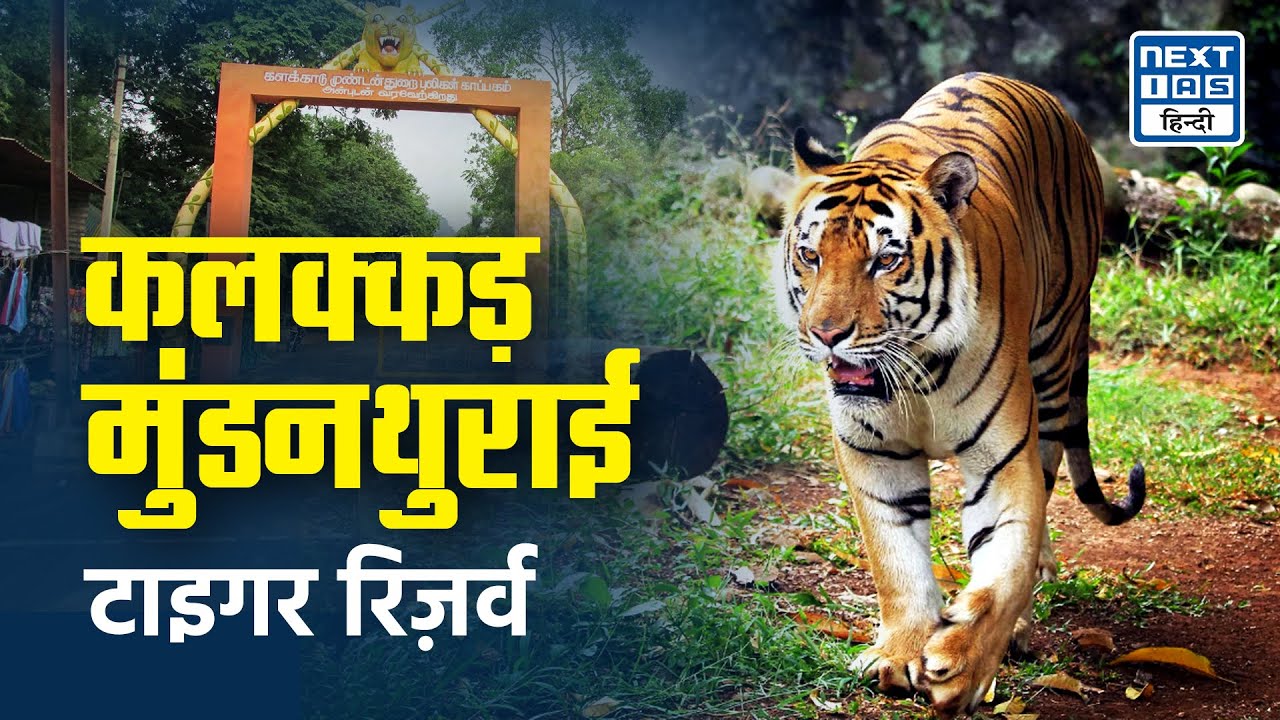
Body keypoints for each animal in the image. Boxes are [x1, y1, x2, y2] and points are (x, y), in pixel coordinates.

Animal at [774, 72, 1146, 718]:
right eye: (810, 255)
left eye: (885, 260)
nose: (825, 335)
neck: (915, 373)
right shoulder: (874, 453)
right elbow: (894, 558)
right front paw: (899, 653)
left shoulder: (1002, 458)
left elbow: (1006, 565)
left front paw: (963, 666)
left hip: (1053, 363)